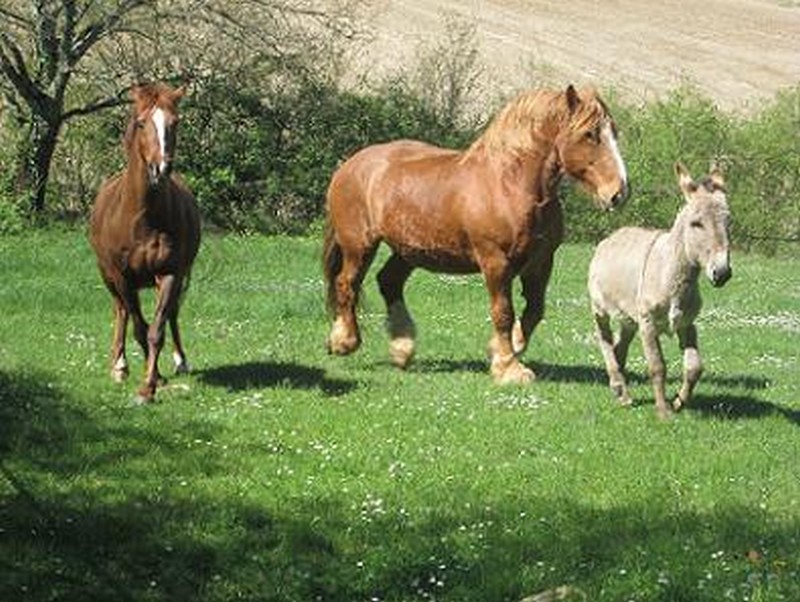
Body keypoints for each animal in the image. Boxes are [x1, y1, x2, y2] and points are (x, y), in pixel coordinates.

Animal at [90, 79, 200, 398]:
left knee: (171, 313)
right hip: (109, 277)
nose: (160, 169)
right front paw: (147, 378)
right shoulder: (122, 276)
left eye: (175, 122)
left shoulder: (171, 273)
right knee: (121, 311)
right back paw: (120, 366)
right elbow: (138, 327)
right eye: (141, 123)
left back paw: (179, 362)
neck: (144, 218)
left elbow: (156, 330)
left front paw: (150, 385)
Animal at [322, 85, 628, 380]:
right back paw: (344, 341)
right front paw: (508, 368)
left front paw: (507, 349)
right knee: (346, 283)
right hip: (359, 245)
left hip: (409, 250)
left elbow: (534, 310)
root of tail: (349, 166)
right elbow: (503, 312)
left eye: (614, 132)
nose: (619, 192)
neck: (509, 185)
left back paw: (401, 348)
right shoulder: (495, 262)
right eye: (589, 134)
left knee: (388, 281)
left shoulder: (541, 261)